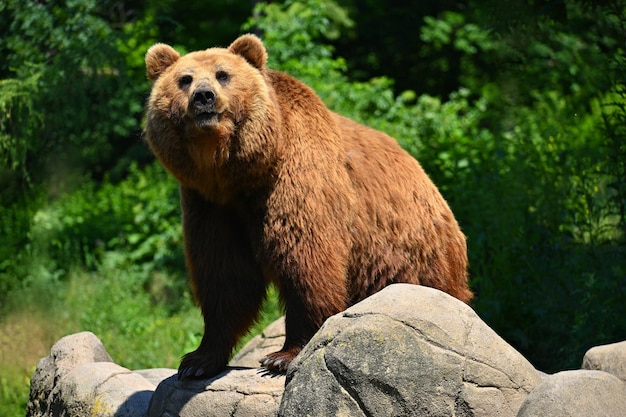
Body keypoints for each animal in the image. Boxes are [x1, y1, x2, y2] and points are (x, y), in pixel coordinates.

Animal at [144, 34, 470, 378]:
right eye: (185, 79)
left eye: (223, 74)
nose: (204, 97)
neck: (238, 173)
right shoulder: (209, 205)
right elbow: (225, 276)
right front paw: (198, 360)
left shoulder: (296, 182)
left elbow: (306, 264)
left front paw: (281, 357)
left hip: (408, 257)